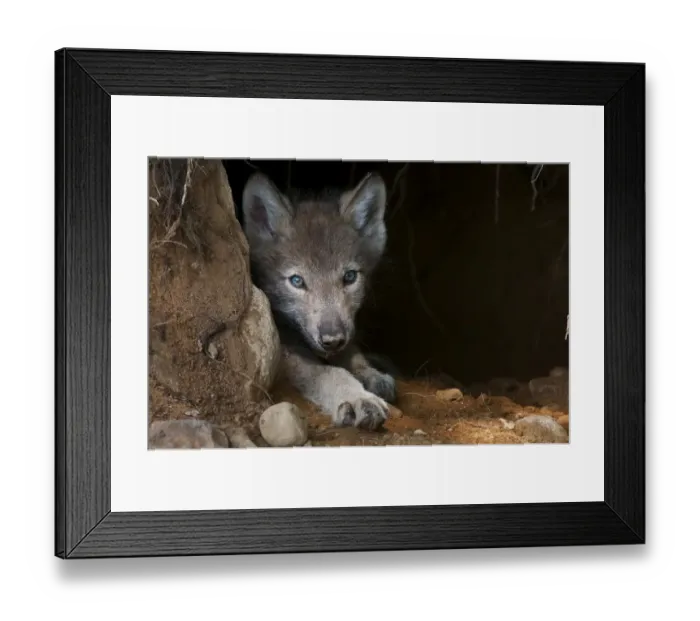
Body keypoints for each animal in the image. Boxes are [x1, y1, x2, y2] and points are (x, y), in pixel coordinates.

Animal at [241, 170, 396, 431]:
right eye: (297, 281)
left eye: (349, 277)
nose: (332, 340)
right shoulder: (286, 351)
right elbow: (328, 372)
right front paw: (357, 397)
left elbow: (354, 354)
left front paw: (372, 374)